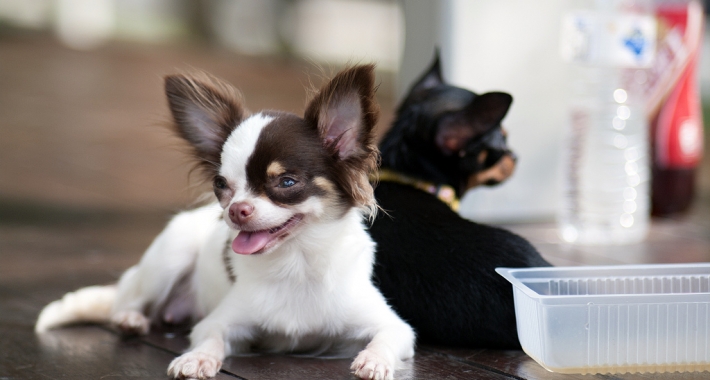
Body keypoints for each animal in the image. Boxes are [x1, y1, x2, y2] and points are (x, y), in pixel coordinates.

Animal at [37, 66, 418, 380]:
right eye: (221, 185)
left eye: (286, 182)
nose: (236, 210)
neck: (296, 263)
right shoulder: (218, 321)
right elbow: (211, 338)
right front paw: (197, 358)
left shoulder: (395, 327)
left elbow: (387, 338)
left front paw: (374, 360)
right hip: (169, 257)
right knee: (127, 299)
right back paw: (130, 319)